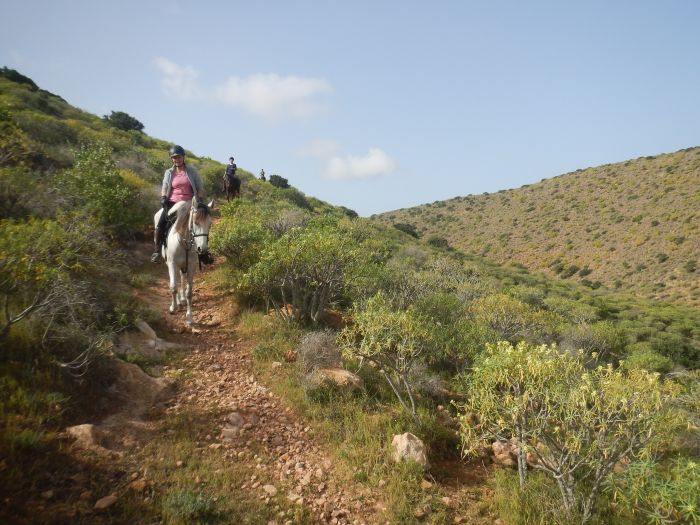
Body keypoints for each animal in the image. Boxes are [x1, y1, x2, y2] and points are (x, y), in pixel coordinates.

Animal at [154, 198, 215, 326]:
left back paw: (181, 299)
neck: (184, 242)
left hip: (184, 265)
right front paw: (173, 308)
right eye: (196, 222)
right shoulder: (172, 264)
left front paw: (189, 317)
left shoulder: (191, 266)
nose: (202, 249)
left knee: (181, 278)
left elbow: (189, 292)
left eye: (210, 224)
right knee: (176, 280)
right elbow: (173, 287)